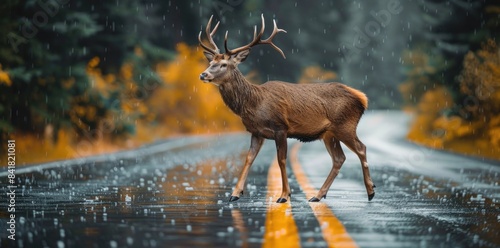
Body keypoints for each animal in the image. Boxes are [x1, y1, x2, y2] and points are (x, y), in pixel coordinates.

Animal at [198, 14, 376, 203]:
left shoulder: (280, 127)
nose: (203, 74)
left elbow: (281, 160)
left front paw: (284, 195)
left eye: (224, 64)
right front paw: (235, 194)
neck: (254, 103)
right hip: (329, 133)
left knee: (361, 148)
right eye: (211, 62)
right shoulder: (256, 131)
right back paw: (317, 195)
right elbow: (249, 158)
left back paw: (370, 191)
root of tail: (362, 98)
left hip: (345, 125)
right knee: (339, 158)